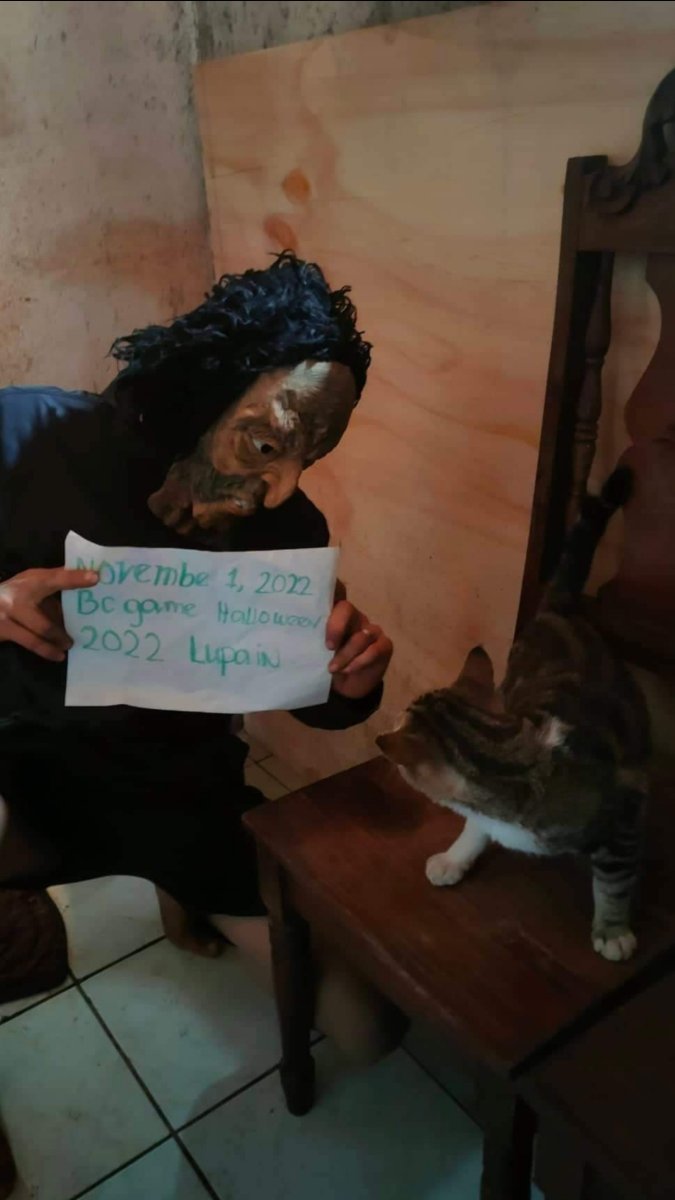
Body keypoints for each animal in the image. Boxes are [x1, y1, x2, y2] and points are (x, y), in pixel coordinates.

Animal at [376, 467, 650, 963]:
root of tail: (558, 611)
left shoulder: (622, 814)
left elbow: (616, 882)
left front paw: (613, 931)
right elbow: (475, 826)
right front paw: (455, 858)